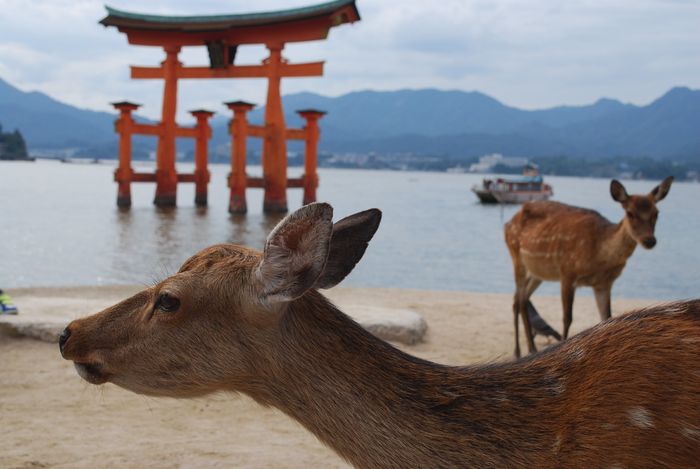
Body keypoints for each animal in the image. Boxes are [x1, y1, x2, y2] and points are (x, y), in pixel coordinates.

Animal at [506, 177, 676, 356]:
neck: (598, 255)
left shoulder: (604, 284)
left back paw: (529, 349)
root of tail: (508, 223)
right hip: (516, 256)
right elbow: (567, 318)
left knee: (521, 298)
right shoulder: (567, 271)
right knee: (518, 300)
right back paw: (520, 351)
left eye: (656, 213)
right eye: (630, 213)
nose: (649, 240)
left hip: (538, 273)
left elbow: (607, 316)